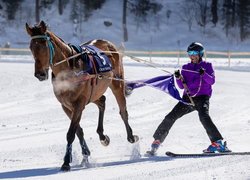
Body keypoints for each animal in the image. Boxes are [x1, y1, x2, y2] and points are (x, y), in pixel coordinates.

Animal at [25, 20, 139, 171]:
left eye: (44, 45)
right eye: (31, 47)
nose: (40, 74)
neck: (69, 69)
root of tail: (109, 45)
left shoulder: (79, 104)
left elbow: (71, 133)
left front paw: (66, 162)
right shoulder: (67, 106)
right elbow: (78, 131)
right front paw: (85, 154)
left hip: (116, 83)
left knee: (123, 111)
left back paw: (131, 136)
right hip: (94, 92)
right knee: (102, 101)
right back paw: (102, 136)